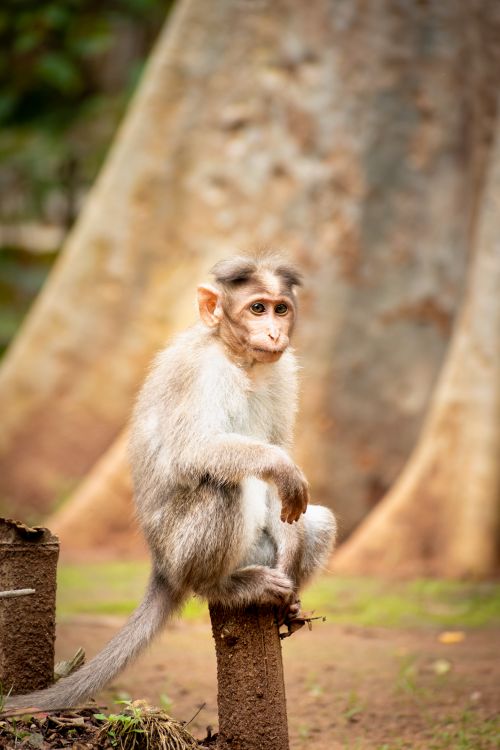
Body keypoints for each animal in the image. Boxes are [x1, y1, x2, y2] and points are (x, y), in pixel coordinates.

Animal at [6, 252, 336, 712]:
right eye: (257, 308)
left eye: (280, 308)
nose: (274, 331)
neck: (239, 359)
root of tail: (161, 566)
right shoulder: (202, 372)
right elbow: (194, 450)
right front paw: (281, 467)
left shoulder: (283, 371)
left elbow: (281, 475)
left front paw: (291, 543)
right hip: (181, 551)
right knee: (221, 487)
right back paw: (225, 586)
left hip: (254, 550)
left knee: (316, 519)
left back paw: (288, 603)